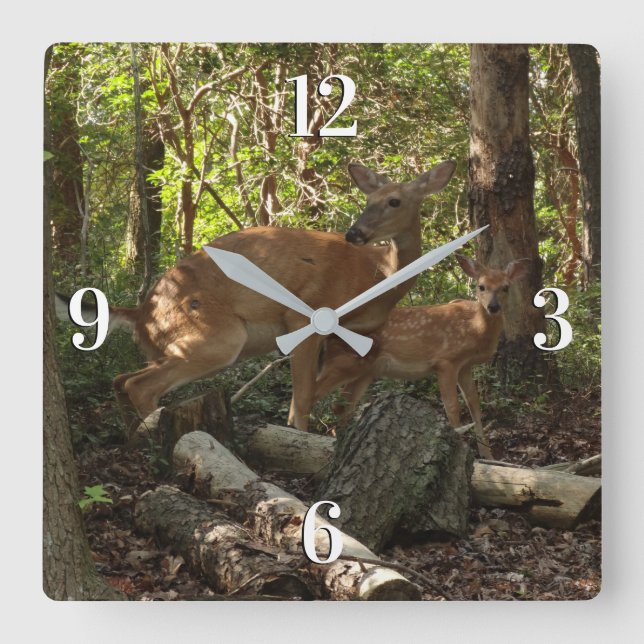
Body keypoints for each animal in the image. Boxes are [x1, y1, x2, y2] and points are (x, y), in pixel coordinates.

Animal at [58, 160, 457, 435]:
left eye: (394, 201)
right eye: (368, 199)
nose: (355, 233)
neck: (376, 273)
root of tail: (142, 312)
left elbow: (315, 397)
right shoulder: (306, 313)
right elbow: (304, 398)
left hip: (167, 346)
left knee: (121, 378)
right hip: (218, 336)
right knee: (138, 385)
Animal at [310, 254, 530, 458]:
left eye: (505, 287)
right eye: (481, 286)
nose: (493, 307)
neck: (475, 328)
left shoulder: (465, 366)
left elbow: (474, 405)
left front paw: (488, 456)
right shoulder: (446, 360)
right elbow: (452, 407)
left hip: (365, 371)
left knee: (341, 406)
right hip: (343, 362)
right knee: (313, 393)